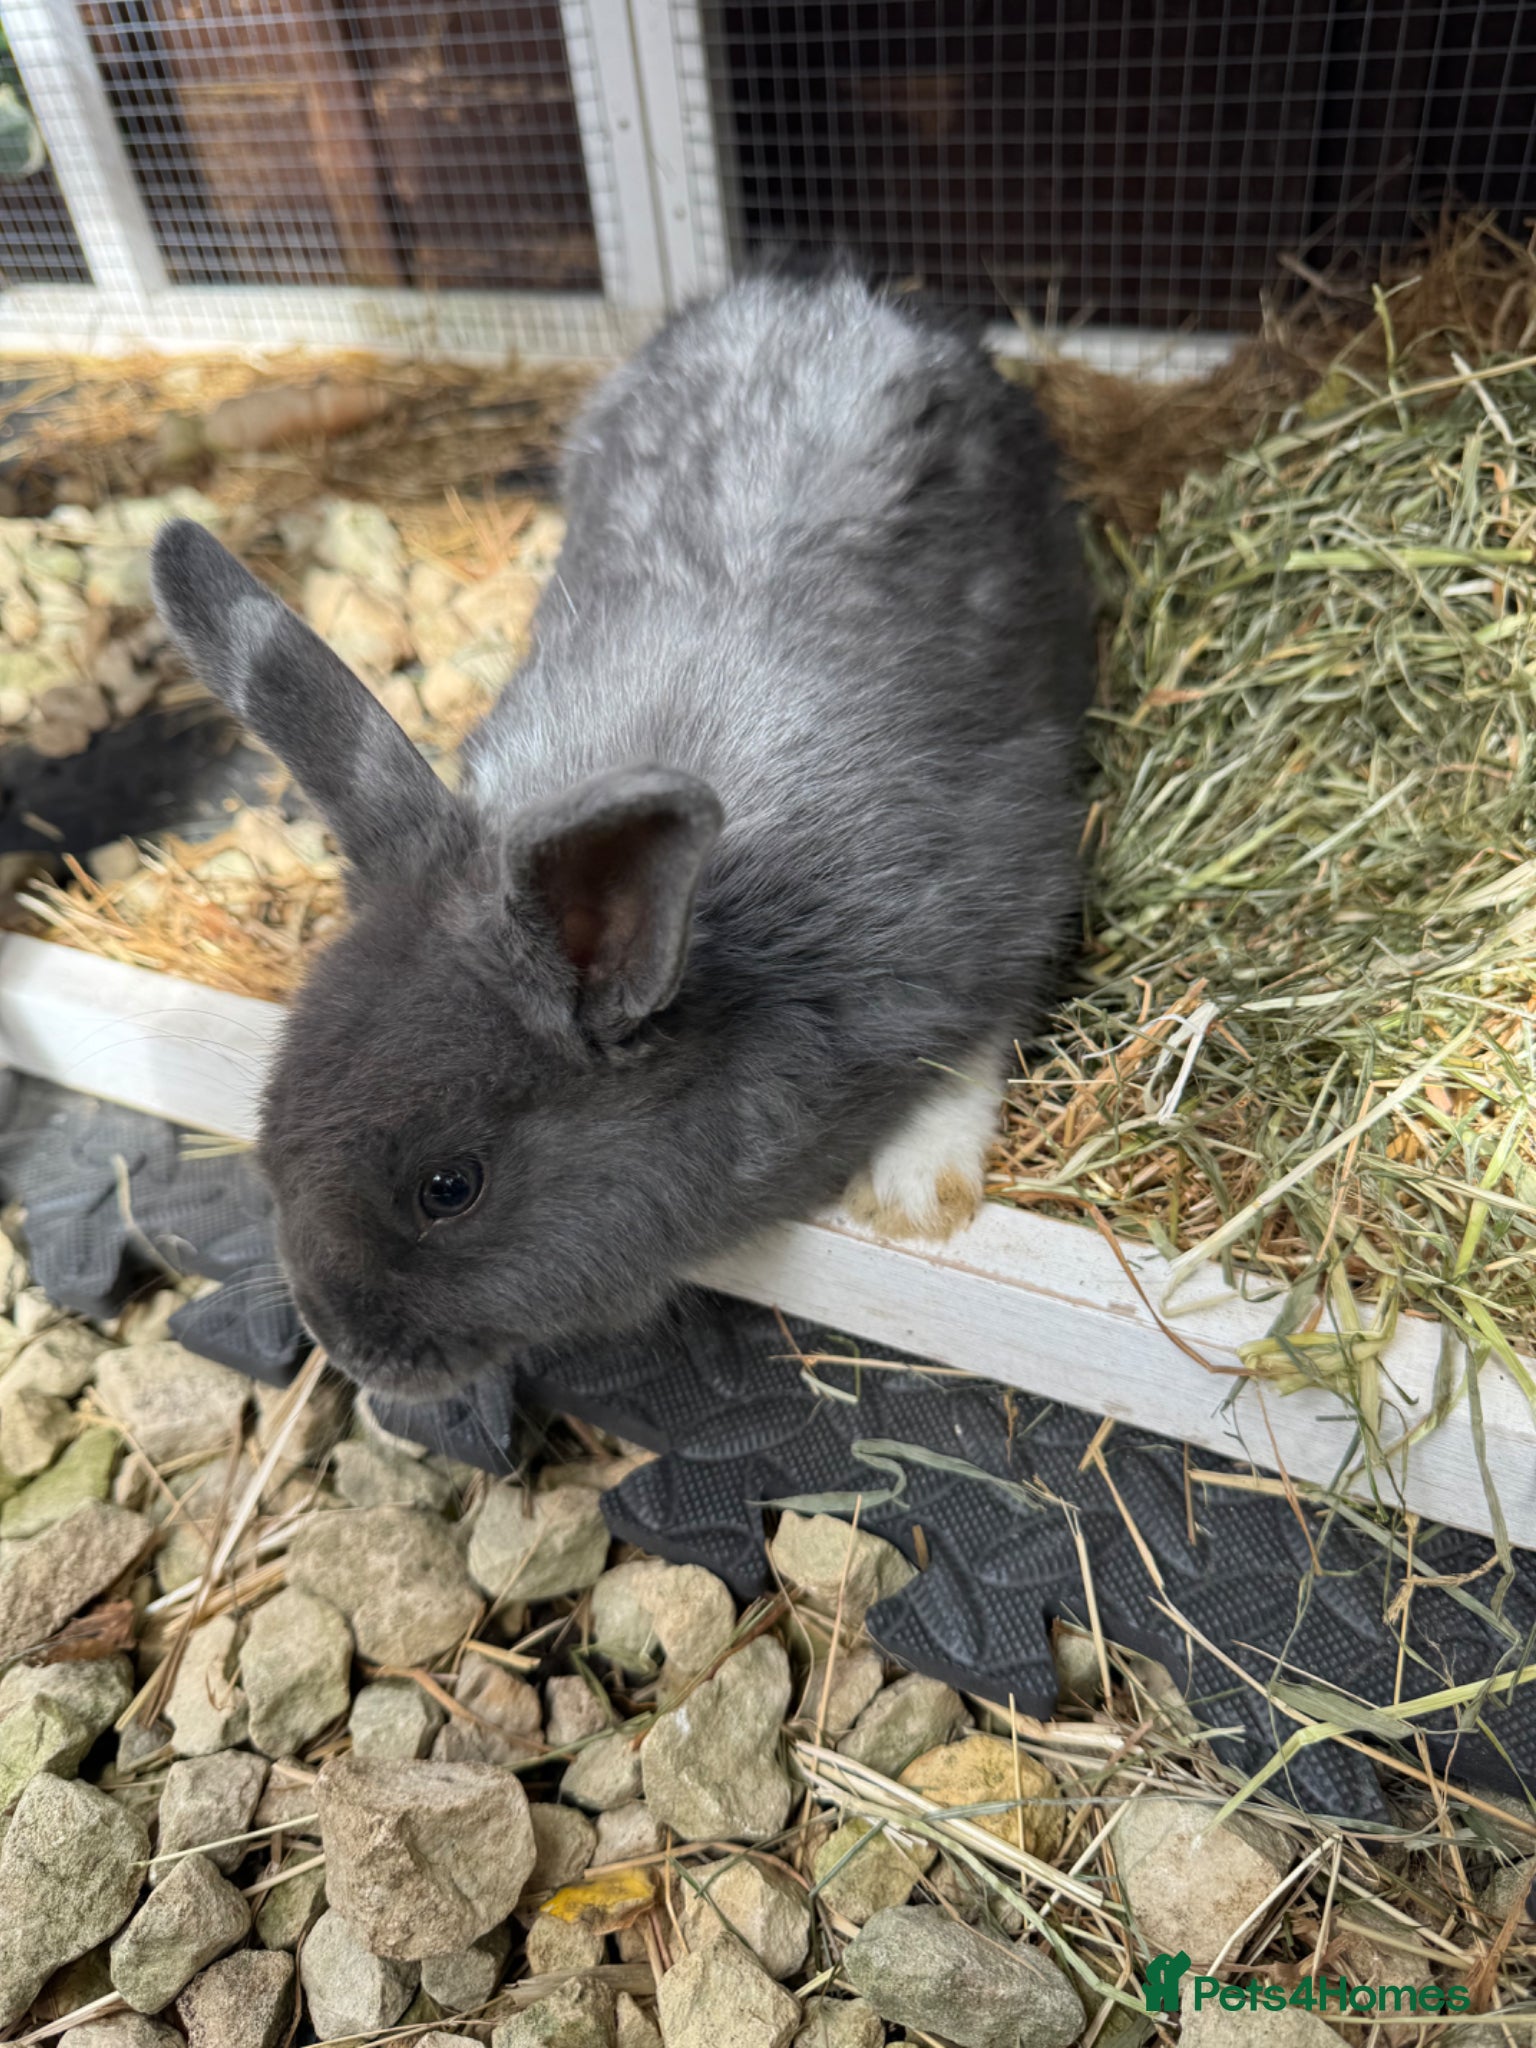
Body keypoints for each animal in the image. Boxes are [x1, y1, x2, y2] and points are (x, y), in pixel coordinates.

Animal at [151, 264, 1095, 1402]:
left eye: (448, 1186)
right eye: (272, 1120)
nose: (348, 1345)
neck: (730, 958)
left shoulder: (1004, 885)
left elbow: (970, 1051)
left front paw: (918, 1199)